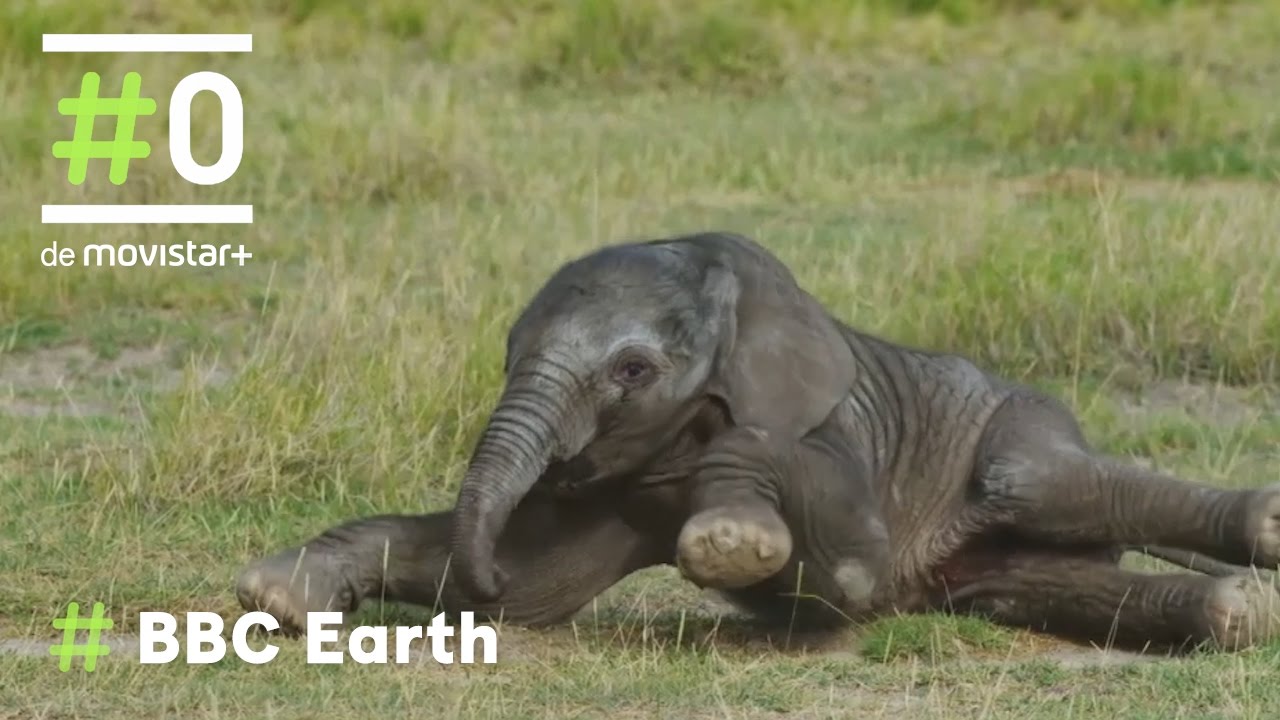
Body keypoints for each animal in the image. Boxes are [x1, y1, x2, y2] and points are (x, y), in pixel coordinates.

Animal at [236, 231, 1280, 652]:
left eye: (631, 372)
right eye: (508, 356)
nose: (476, 572)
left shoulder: (836, 422)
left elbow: (851, 561)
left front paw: (731, 540)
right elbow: (538, 591)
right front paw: (275, 594)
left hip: (1023, 427)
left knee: (1031, 478)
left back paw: (1263, 538)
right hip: (989, 586)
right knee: (1036, 584)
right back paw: (1240, 612)